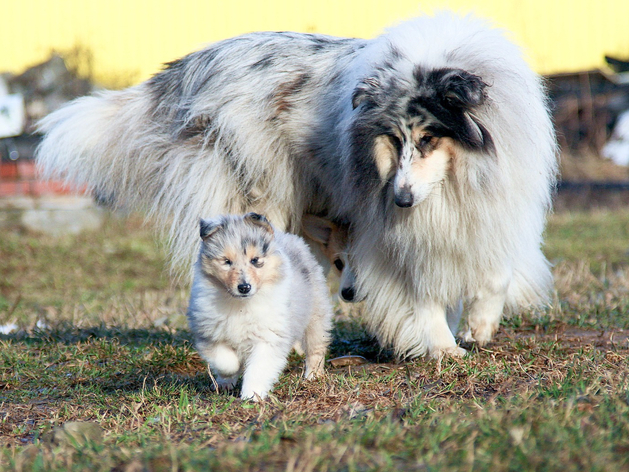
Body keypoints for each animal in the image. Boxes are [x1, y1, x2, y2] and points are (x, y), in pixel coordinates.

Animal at [35, 12, 556, 358]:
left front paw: (476, 328)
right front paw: (444, 348)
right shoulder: (386, 226)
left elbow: (494, 271)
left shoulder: (496, 207)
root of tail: (194, 64)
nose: (402, 199)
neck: (457, 179)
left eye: (428, 138)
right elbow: (418, 289)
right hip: (257, 195)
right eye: (393, 138)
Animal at [188, 212, 332, 400]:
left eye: (255, 260)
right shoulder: (209, 333)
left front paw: (252, 395)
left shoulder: (268, 338)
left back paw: (313, 376)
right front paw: (231, 373)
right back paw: (224, 383)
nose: (244, 287)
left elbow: (258, 369)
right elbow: (225, 360)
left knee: (316, 348)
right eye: (227, 261)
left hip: (316, 316)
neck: (240, 304)